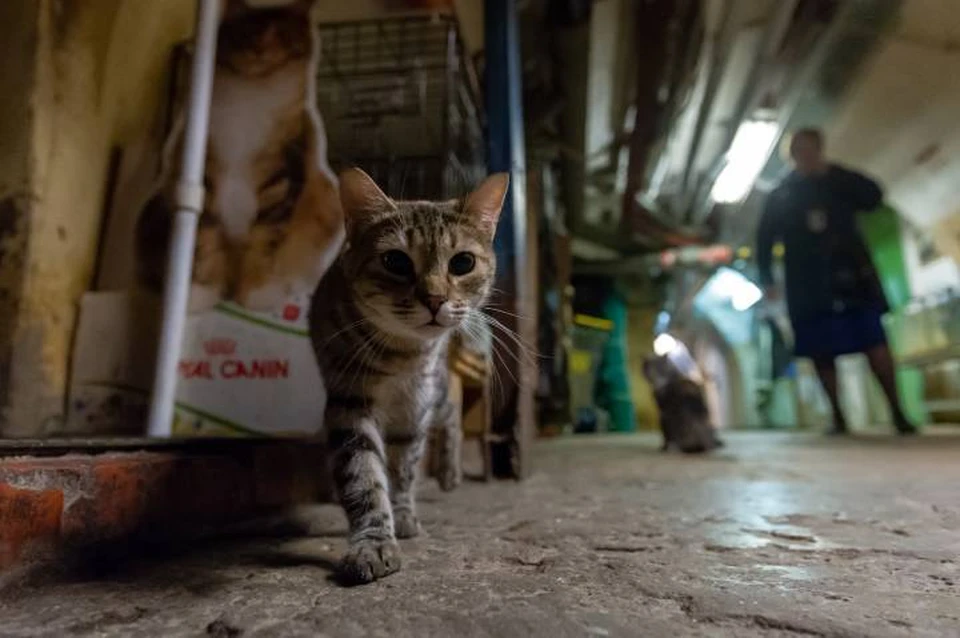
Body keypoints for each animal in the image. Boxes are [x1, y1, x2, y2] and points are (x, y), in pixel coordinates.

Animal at [138, 0, 342, 316]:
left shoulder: (284, 179)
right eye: (247, 33)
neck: (250, 97)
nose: (260, 49)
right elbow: (206, 241)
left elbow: (264, 242)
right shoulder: (204, 177)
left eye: (280, 34)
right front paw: (202, 293)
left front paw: (254, 294)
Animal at [312, 169, 510, 584]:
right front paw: (372, 541)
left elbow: (403, 466)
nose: (434, 299)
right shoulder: (348, 402)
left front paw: (400, 514)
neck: (402, 354)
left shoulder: (415, 404)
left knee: (451, 418)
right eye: (396, 261)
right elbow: (363, 475)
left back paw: (450, 472)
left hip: (437, 393)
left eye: (463, 262)